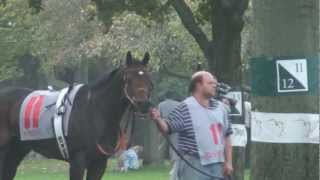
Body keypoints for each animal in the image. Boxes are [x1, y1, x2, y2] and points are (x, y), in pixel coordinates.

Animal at [0, 51, 154, 179]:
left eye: (148, 79)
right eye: (128, 78)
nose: (143, 104)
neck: (94, 110)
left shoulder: (99, 163)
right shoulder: (78, 161)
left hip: (15, 152)